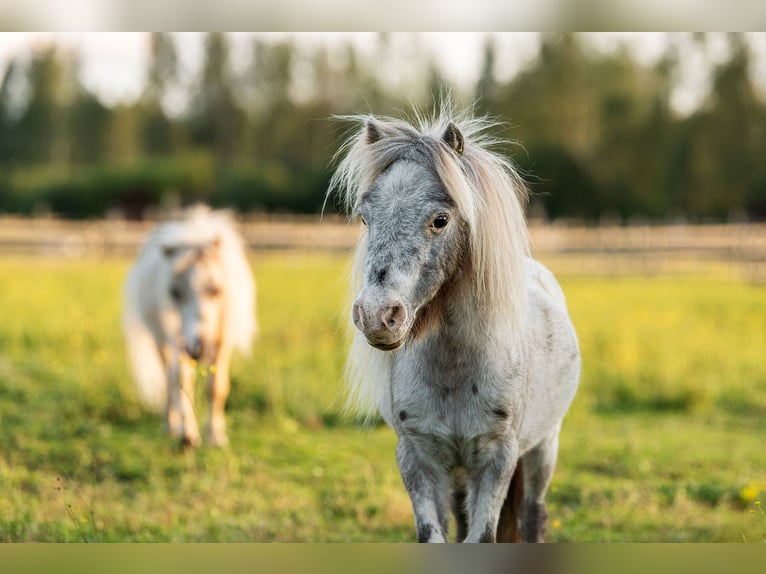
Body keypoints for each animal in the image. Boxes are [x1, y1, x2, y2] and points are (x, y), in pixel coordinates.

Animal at [123, 205, 257, 447]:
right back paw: (171, 426)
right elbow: (180, 380)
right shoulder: (176, 335)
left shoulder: (223, 340)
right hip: (161, 339)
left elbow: (216, 387)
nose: (198, 348)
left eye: (216, 289)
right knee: (170, 379)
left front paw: (215, 436)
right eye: (174, 293)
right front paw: (188, 435)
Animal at [328, 108, 581, 543]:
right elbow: (436, 534)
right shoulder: (417, 458)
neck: (454, 370)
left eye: (440, 219)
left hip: (543, 447)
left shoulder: (497, 460)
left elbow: (483, 536)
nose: (377, 315)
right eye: (365, 218)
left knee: (533, 514)